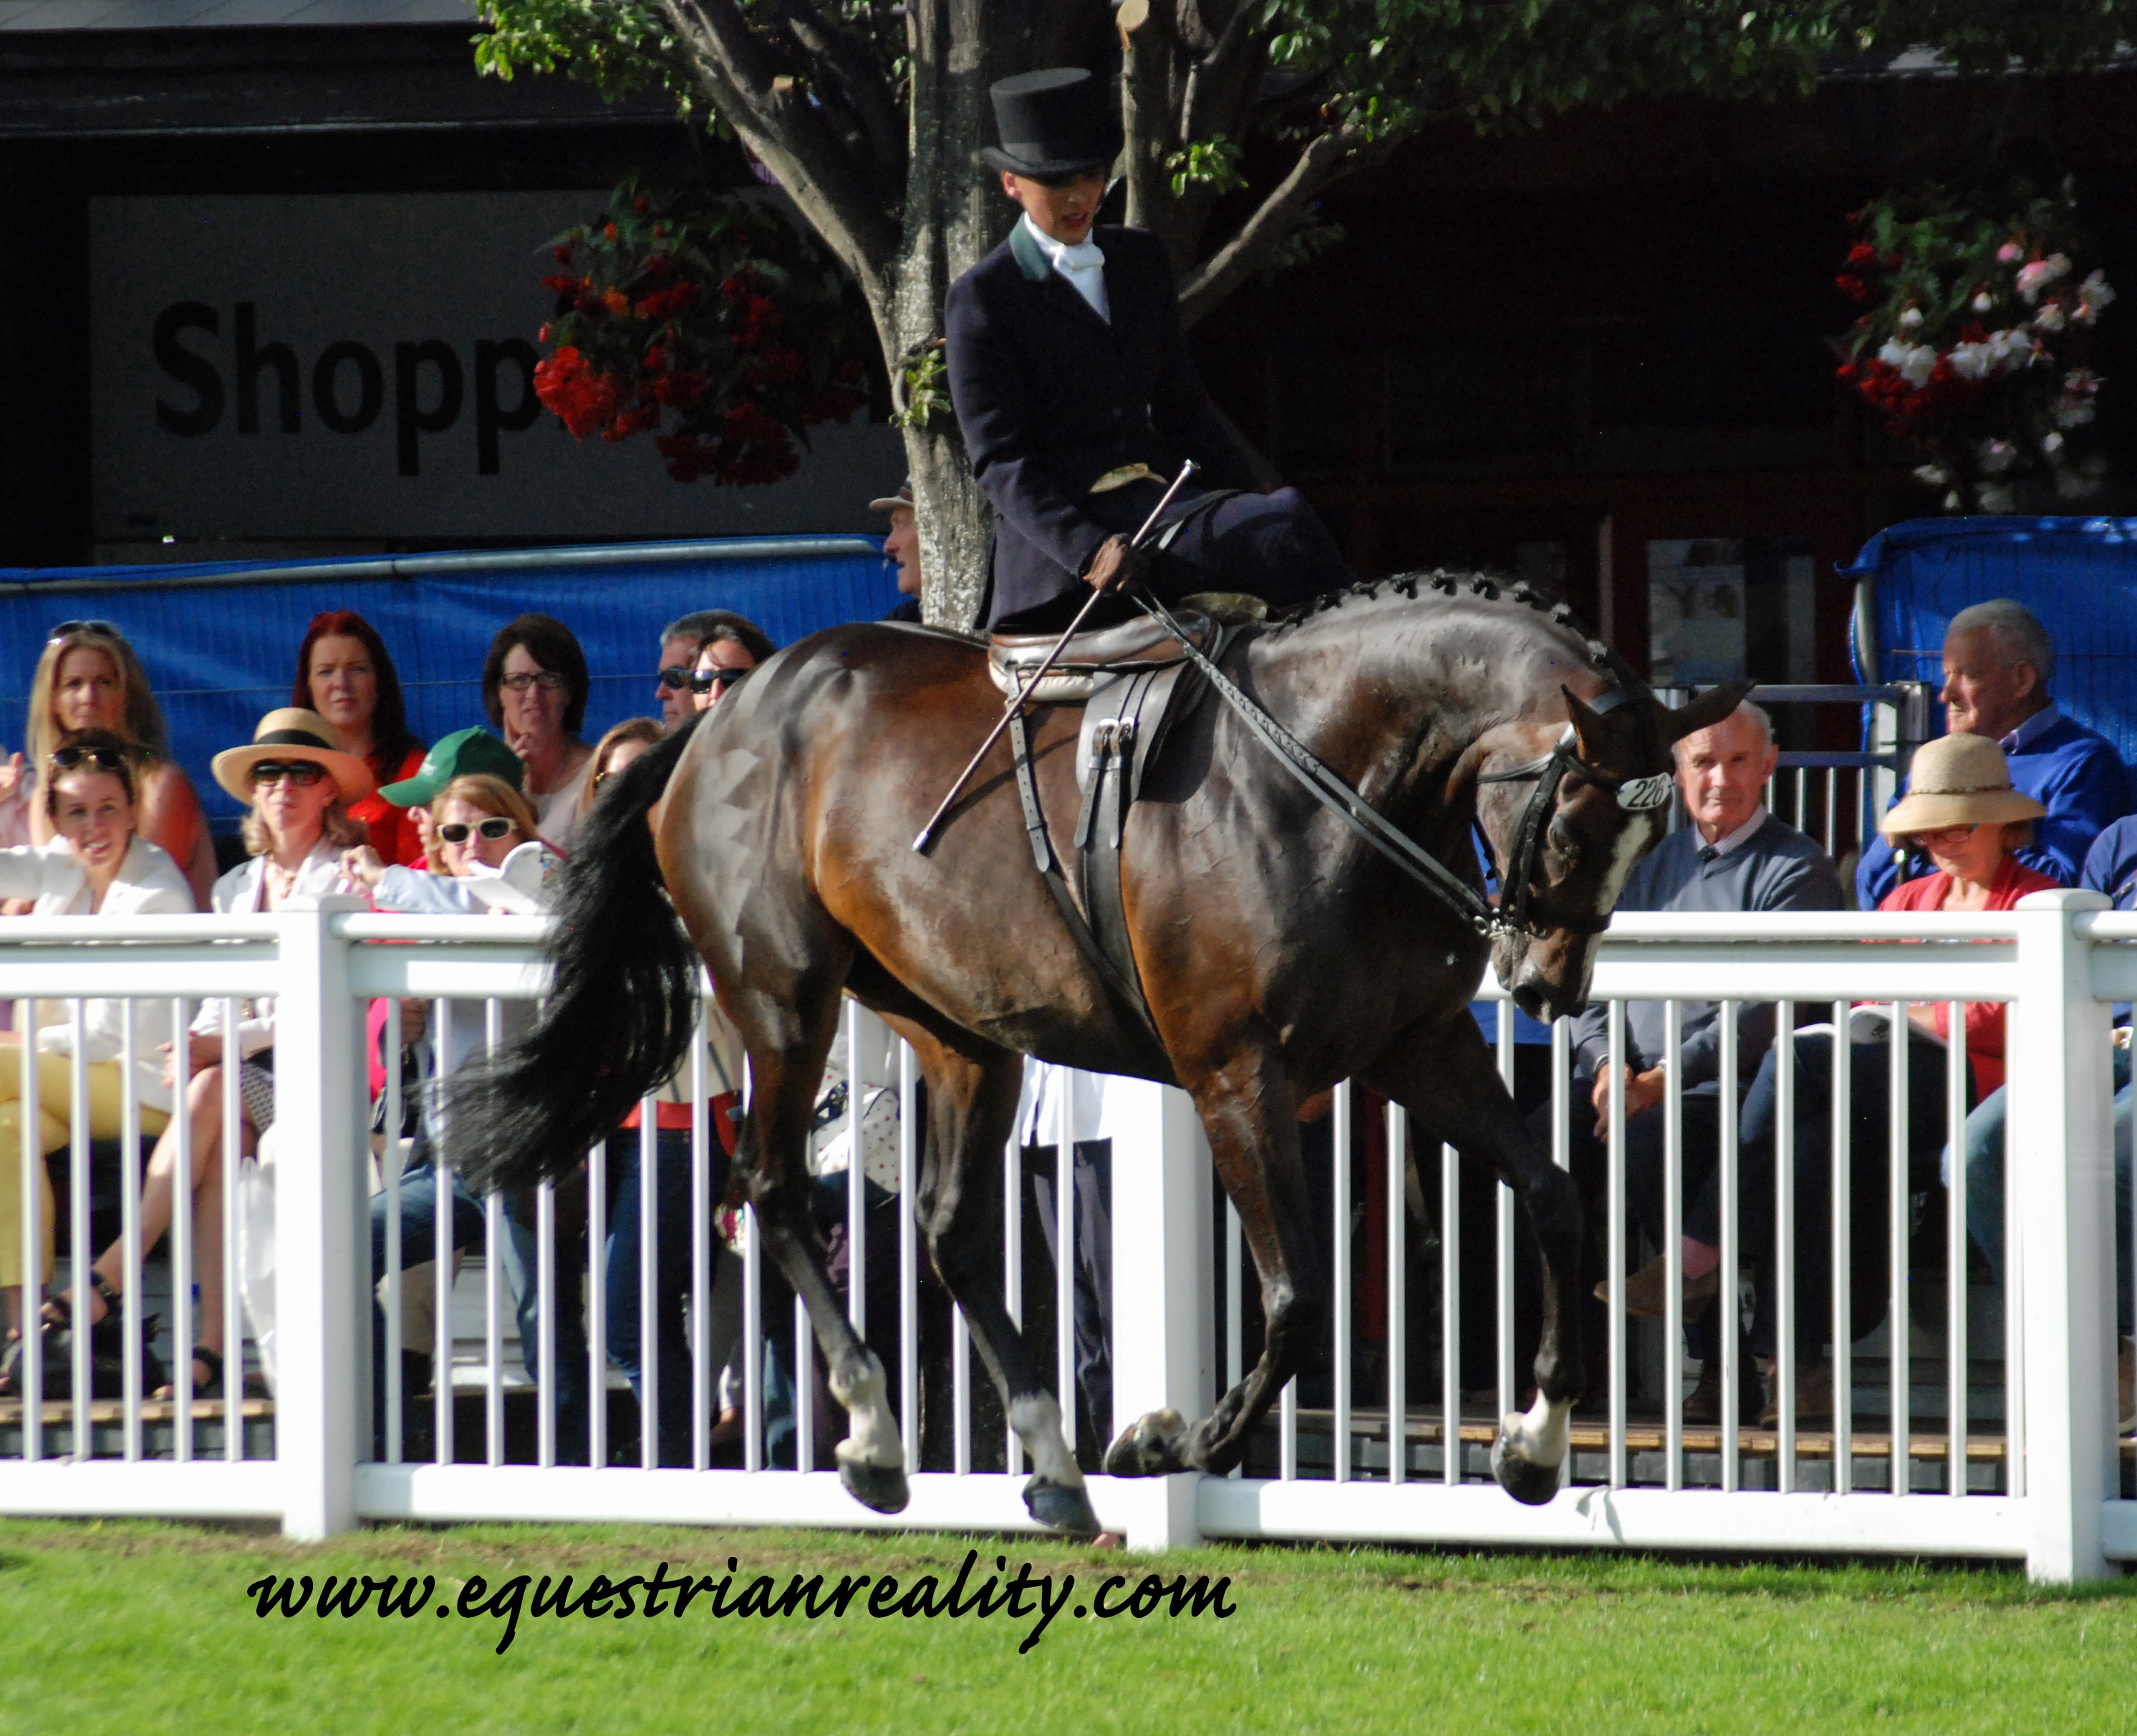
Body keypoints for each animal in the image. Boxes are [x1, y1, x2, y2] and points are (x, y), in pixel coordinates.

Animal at [453, 572, 1746, 1530]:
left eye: (1653, 837)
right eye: (1575, 823)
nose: (1544, 986)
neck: (1330, 782)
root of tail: (710, 722)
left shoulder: (1417, 1046)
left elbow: (1555, 1197)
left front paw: (1533, 1444)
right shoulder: (1237, 1074)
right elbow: (1296, 1297)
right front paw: (1176, 1436)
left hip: (958, 1030)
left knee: (950, 1233)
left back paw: (1048, 1464)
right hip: (784, 999)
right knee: (772, 1187)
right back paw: (874, 1437)